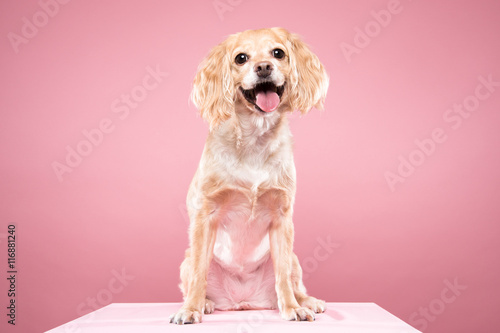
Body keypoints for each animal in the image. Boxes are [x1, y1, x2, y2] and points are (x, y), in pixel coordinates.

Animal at [170, 27, 330, 322]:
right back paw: (205, 303)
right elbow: (199, 274)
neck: (255, 138)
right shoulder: (205, 216)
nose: (264, 67)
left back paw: (307, 301)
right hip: (186, 260)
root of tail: (242, 302)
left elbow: (282, 278)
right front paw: (190, 309)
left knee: (293, 282)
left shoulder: (281, 218)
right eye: (241, 58)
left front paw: (292, 308)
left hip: (294, 258)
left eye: (278, 53)